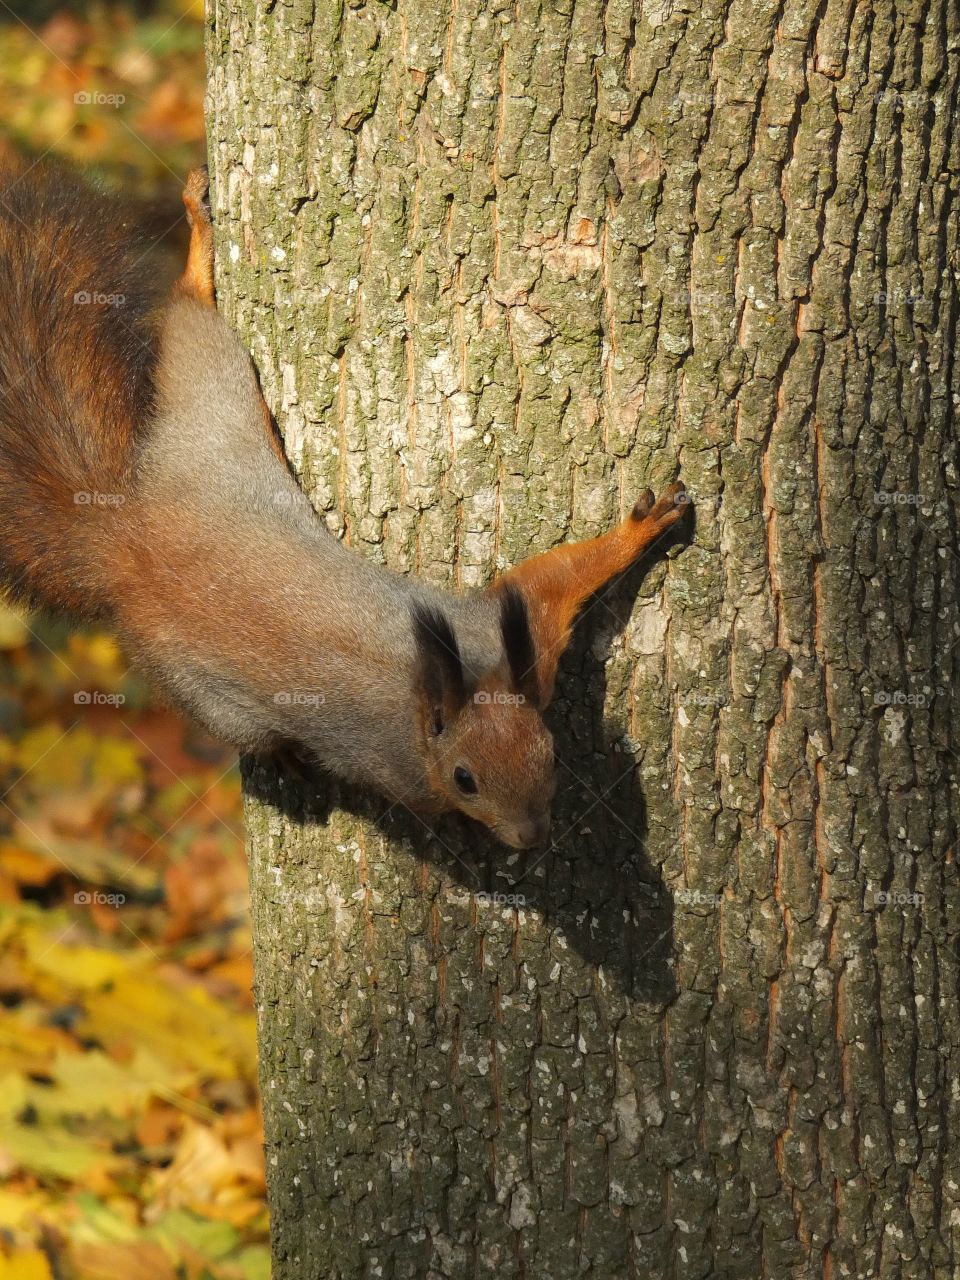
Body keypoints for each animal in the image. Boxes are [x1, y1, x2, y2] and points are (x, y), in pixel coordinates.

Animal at [0, 161, 688, 849]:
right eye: (464, 780)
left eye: (550, 754)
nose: (530, 837)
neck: (425, 693)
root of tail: (127, 536)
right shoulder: (403, 761)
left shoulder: (507, 638)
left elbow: (551, 580)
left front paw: (642, 526)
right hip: (204, 684)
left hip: (213, 417)